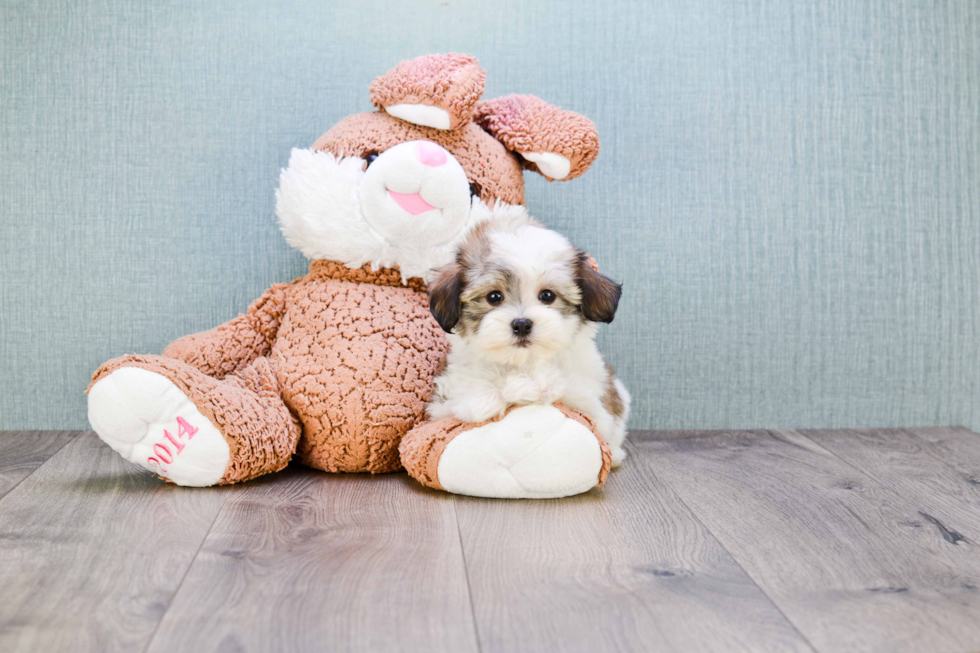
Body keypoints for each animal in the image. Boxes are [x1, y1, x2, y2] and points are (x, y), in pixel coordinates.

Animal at [426, 214, 628, 464]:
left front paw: (527, 385)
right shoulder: (442, 405)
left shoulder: (592, 402)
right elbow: (469, 397)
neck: (521, 362)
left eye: (548, 296)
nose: (522, 324)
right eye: (494, 297)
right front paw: (490, 397)